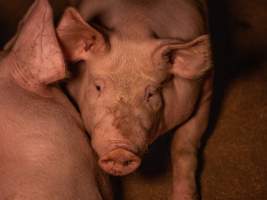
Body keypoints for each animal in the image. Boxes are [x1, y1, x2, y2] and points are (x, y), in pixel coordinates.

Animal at [56, 0, 214, 199]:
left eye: (151, 94)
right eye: (98, 87)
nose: (120, 151)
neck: (135, 27)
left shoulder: (203, 90)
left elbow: (183, 148)